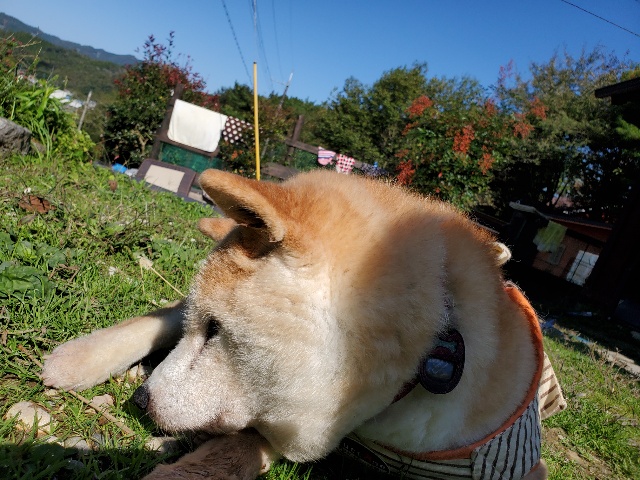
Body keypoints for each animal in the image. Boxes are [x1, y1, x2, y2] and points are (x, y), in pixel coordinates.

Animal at [41, 169, 565, 479]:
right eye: (203, 325)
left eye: (215, 331)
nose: (140, 399)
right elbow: (161, 316)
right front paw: (79, 358)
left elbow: (234, 449)